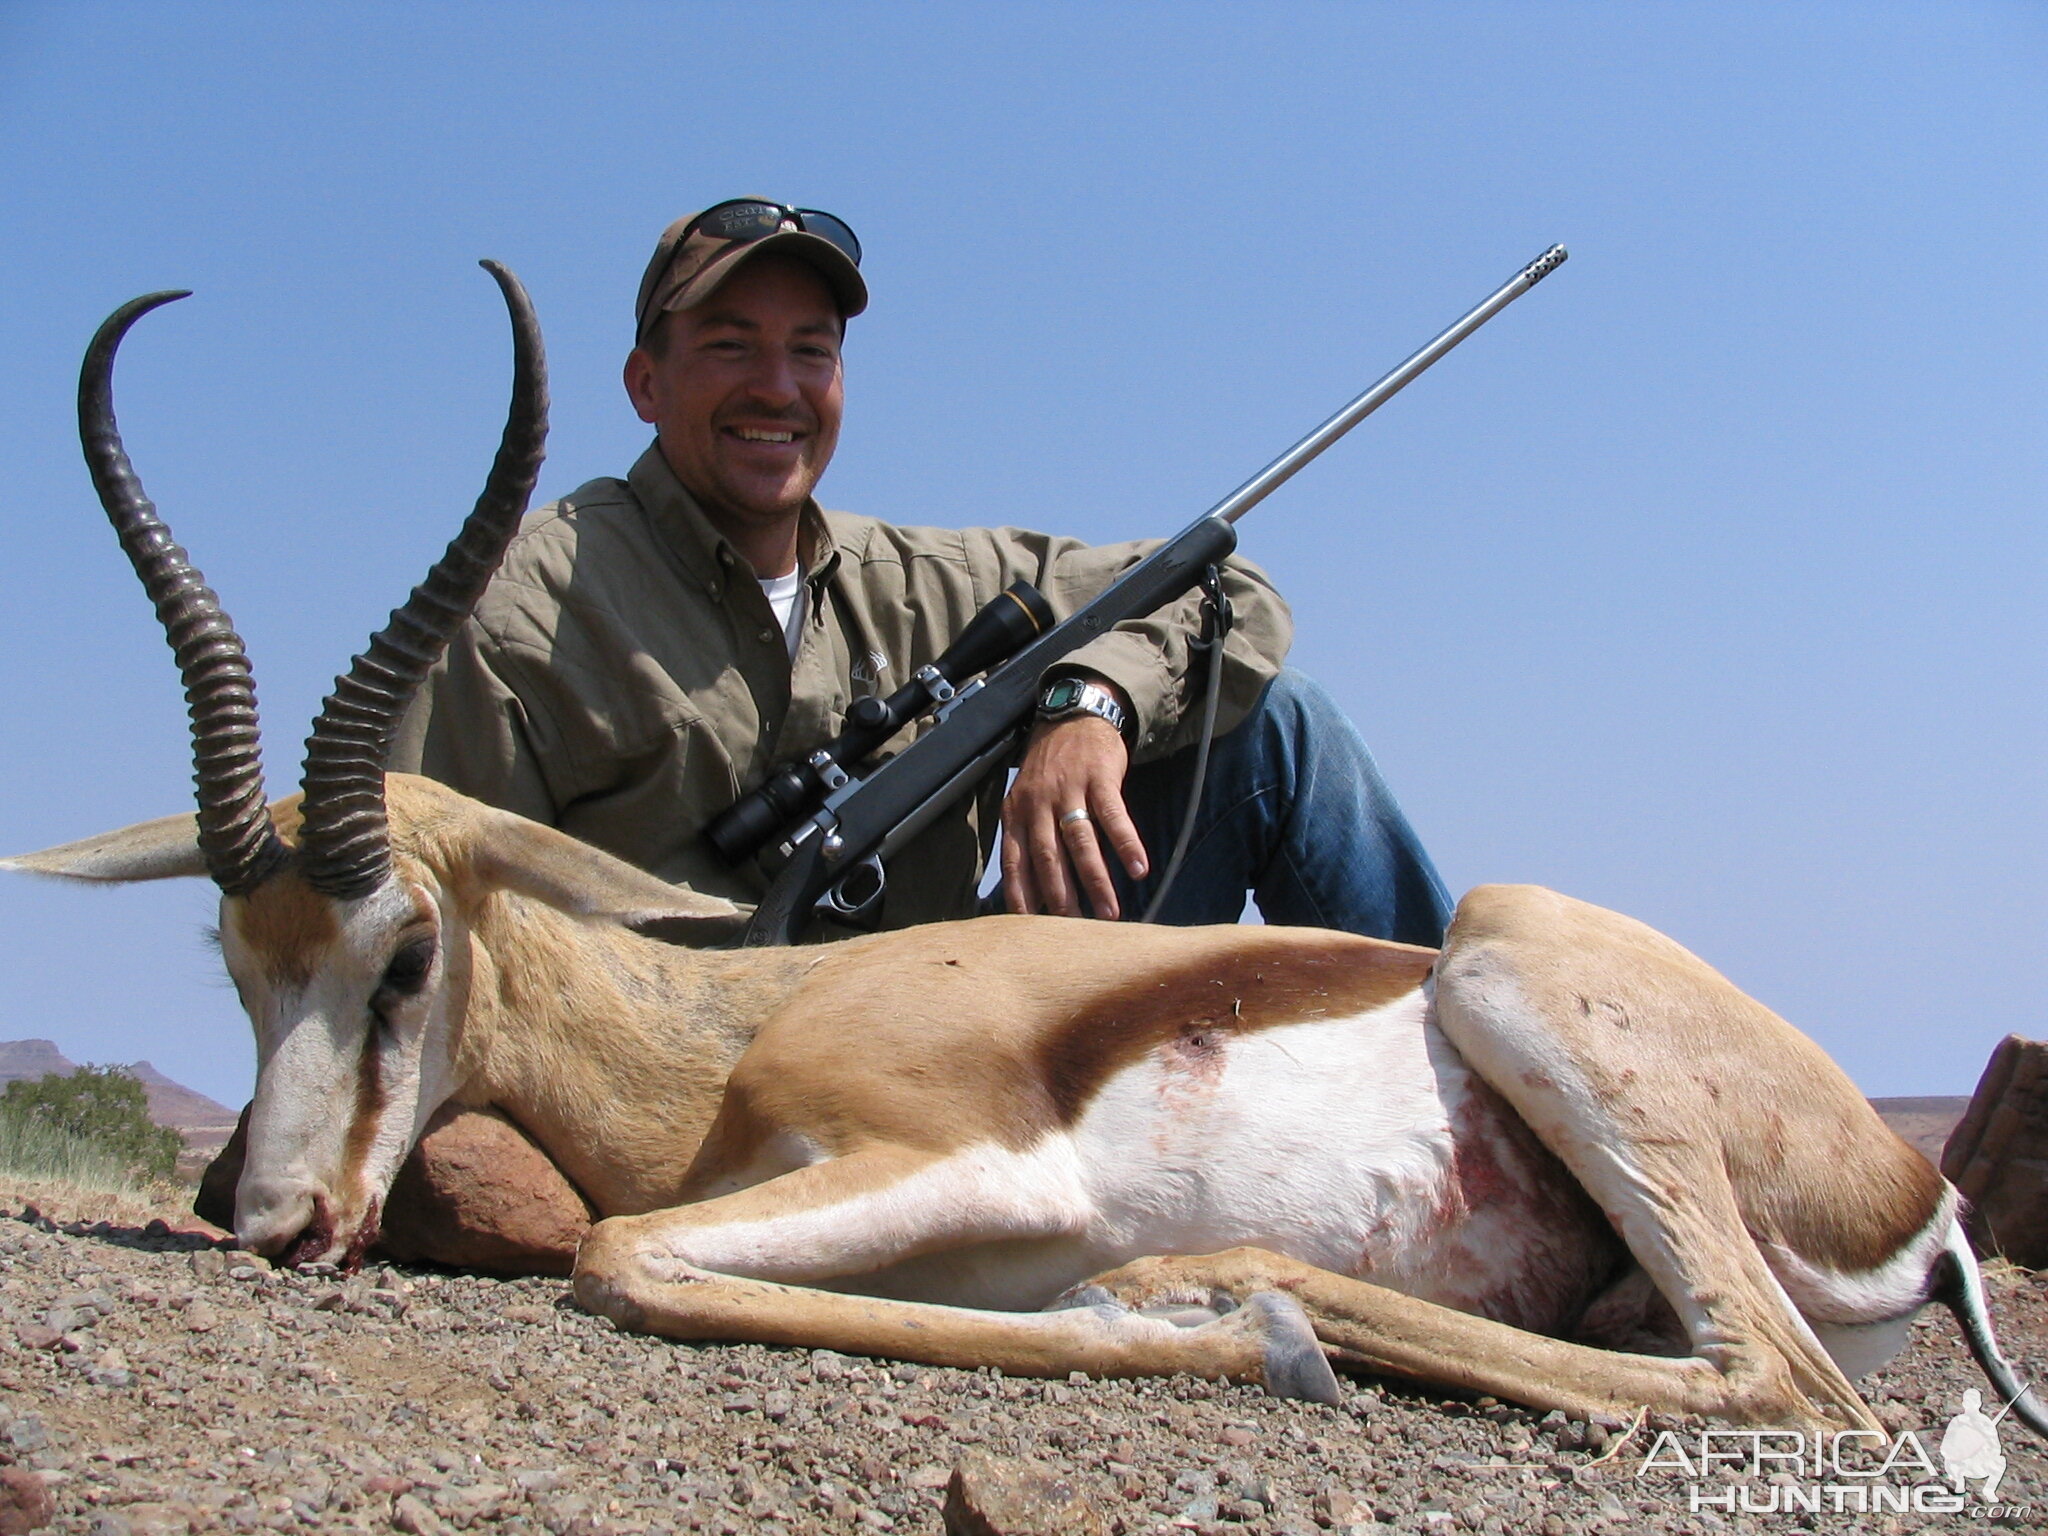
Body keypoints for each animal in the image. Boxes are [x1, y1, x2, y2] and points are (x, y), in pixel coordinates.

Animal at [8, 270, 2039, 1441]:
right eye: (237, 967)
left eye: (407, 955)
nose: (271, 1222)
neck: (728, 1037)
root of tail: (1913, 1197)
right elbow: (638, 1248)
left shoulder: (971, 1158)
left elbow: (623, 1252)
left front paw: (1243, 1340)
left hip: (1509, 966)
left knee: (1786, 1393)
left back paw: (1240, 1296)